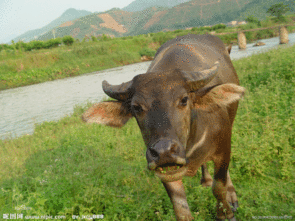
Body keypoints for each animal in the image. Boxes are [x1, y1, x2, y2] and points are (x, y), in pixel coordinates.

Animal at [82, 33, 245, 220]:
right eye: (136, 107)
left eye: (184, 100)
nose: (164, 152)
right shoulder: (165, 170)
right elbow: (180, 208)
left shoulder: (223, 149)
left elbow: (219, 187)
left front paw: (226, 213)